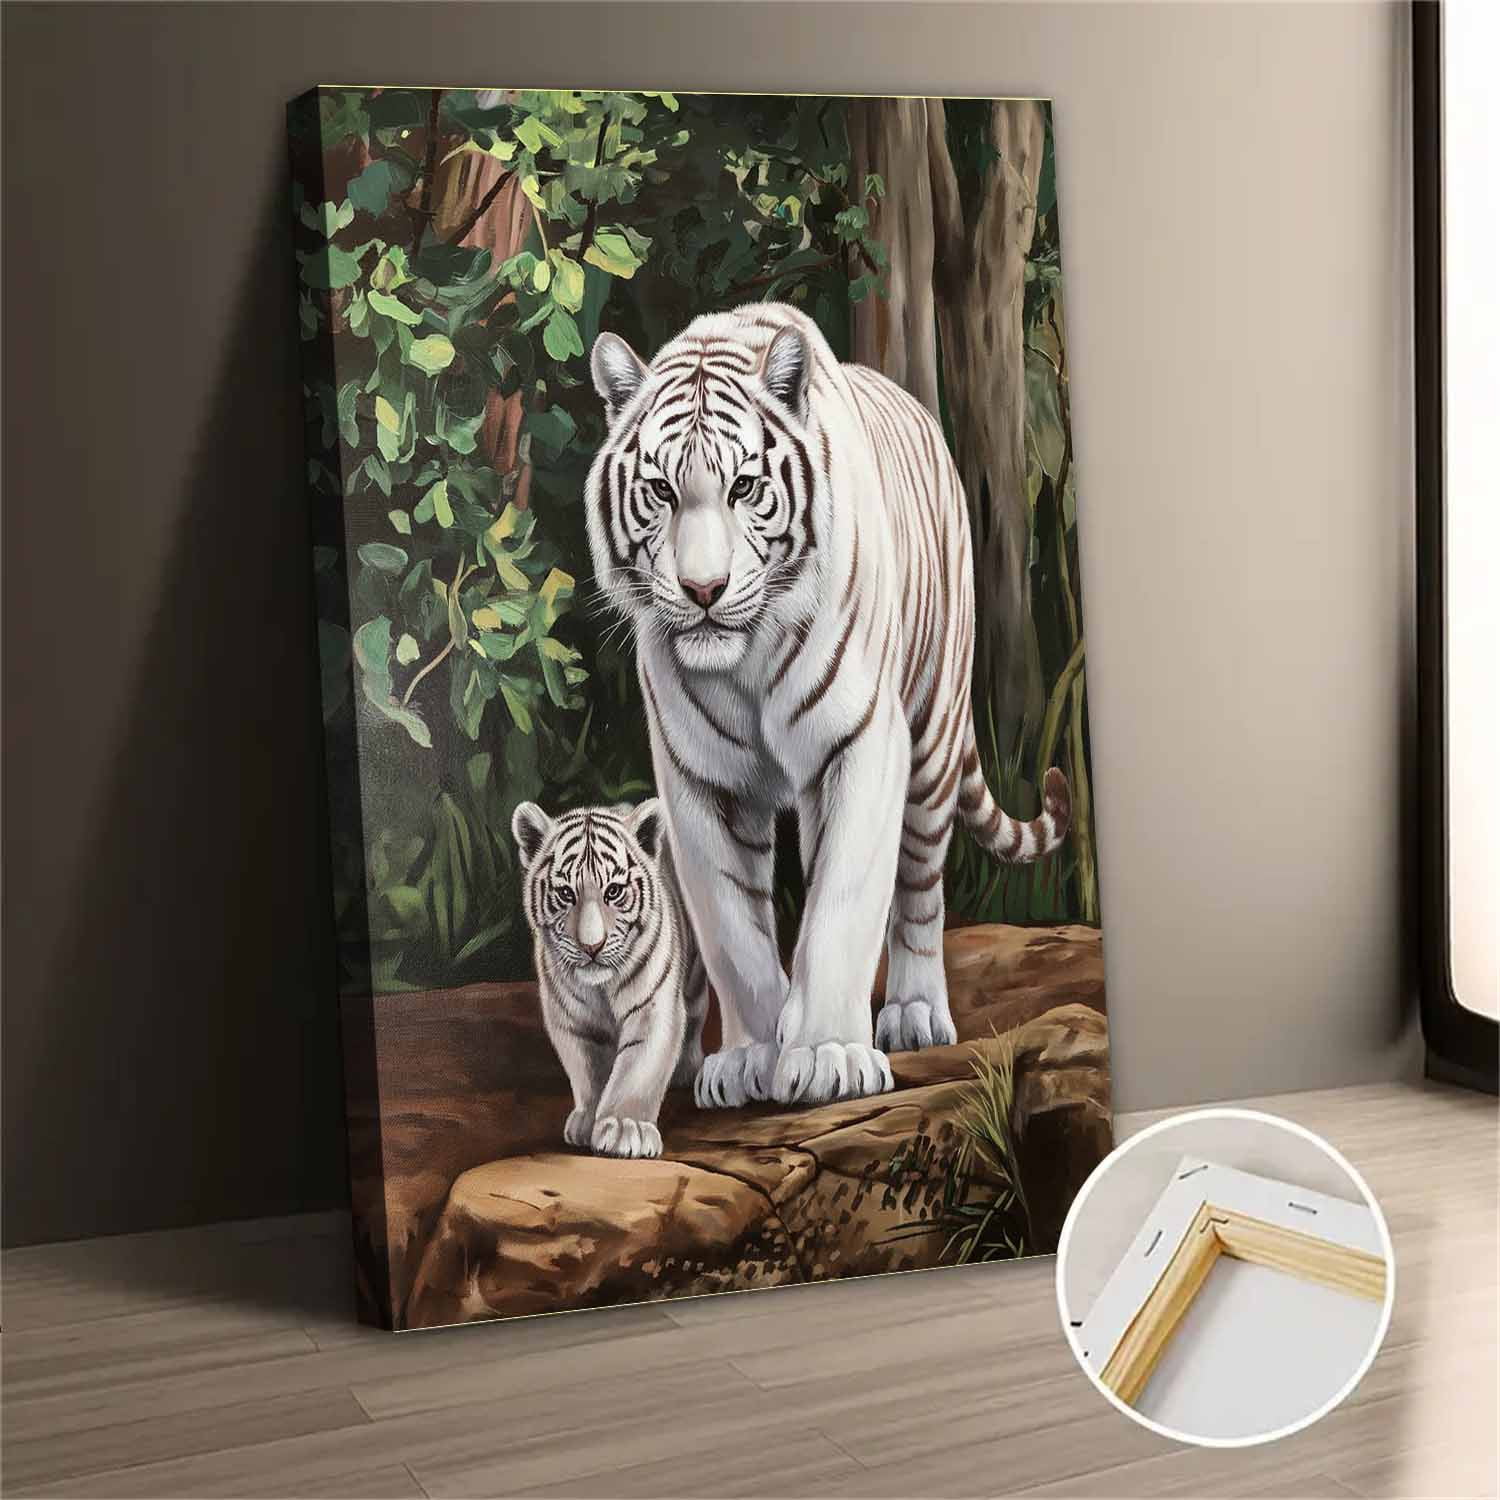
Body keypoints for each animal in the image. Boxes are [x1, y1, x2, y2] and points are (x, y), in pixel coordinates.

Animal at [512, 798, 709, 1157]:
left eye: (614, 891)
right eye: (566, 894)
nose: (592, 946)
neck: (599, 987)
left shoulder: (653, 1008)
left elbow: (638, 1068)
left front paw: (625, 1129)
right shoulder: (571, 1020)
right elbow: (588, 1072)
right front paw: (588, 1122)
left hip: (695, 976)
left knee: (695, 1017)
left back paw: (686, 1070)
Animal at [585, 301, 1070, 1109]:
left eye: (744, 487)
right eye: (661, 492)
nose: (704, 590)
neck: (744, 659)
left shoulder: (864, 740)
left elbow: (844, 899)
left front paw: (828, 1055)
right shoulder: (698, 779)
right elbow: (734, 929)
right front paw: (749, 1056)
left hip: (933, 732)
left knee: (918, 885)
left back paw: (913, 1013)